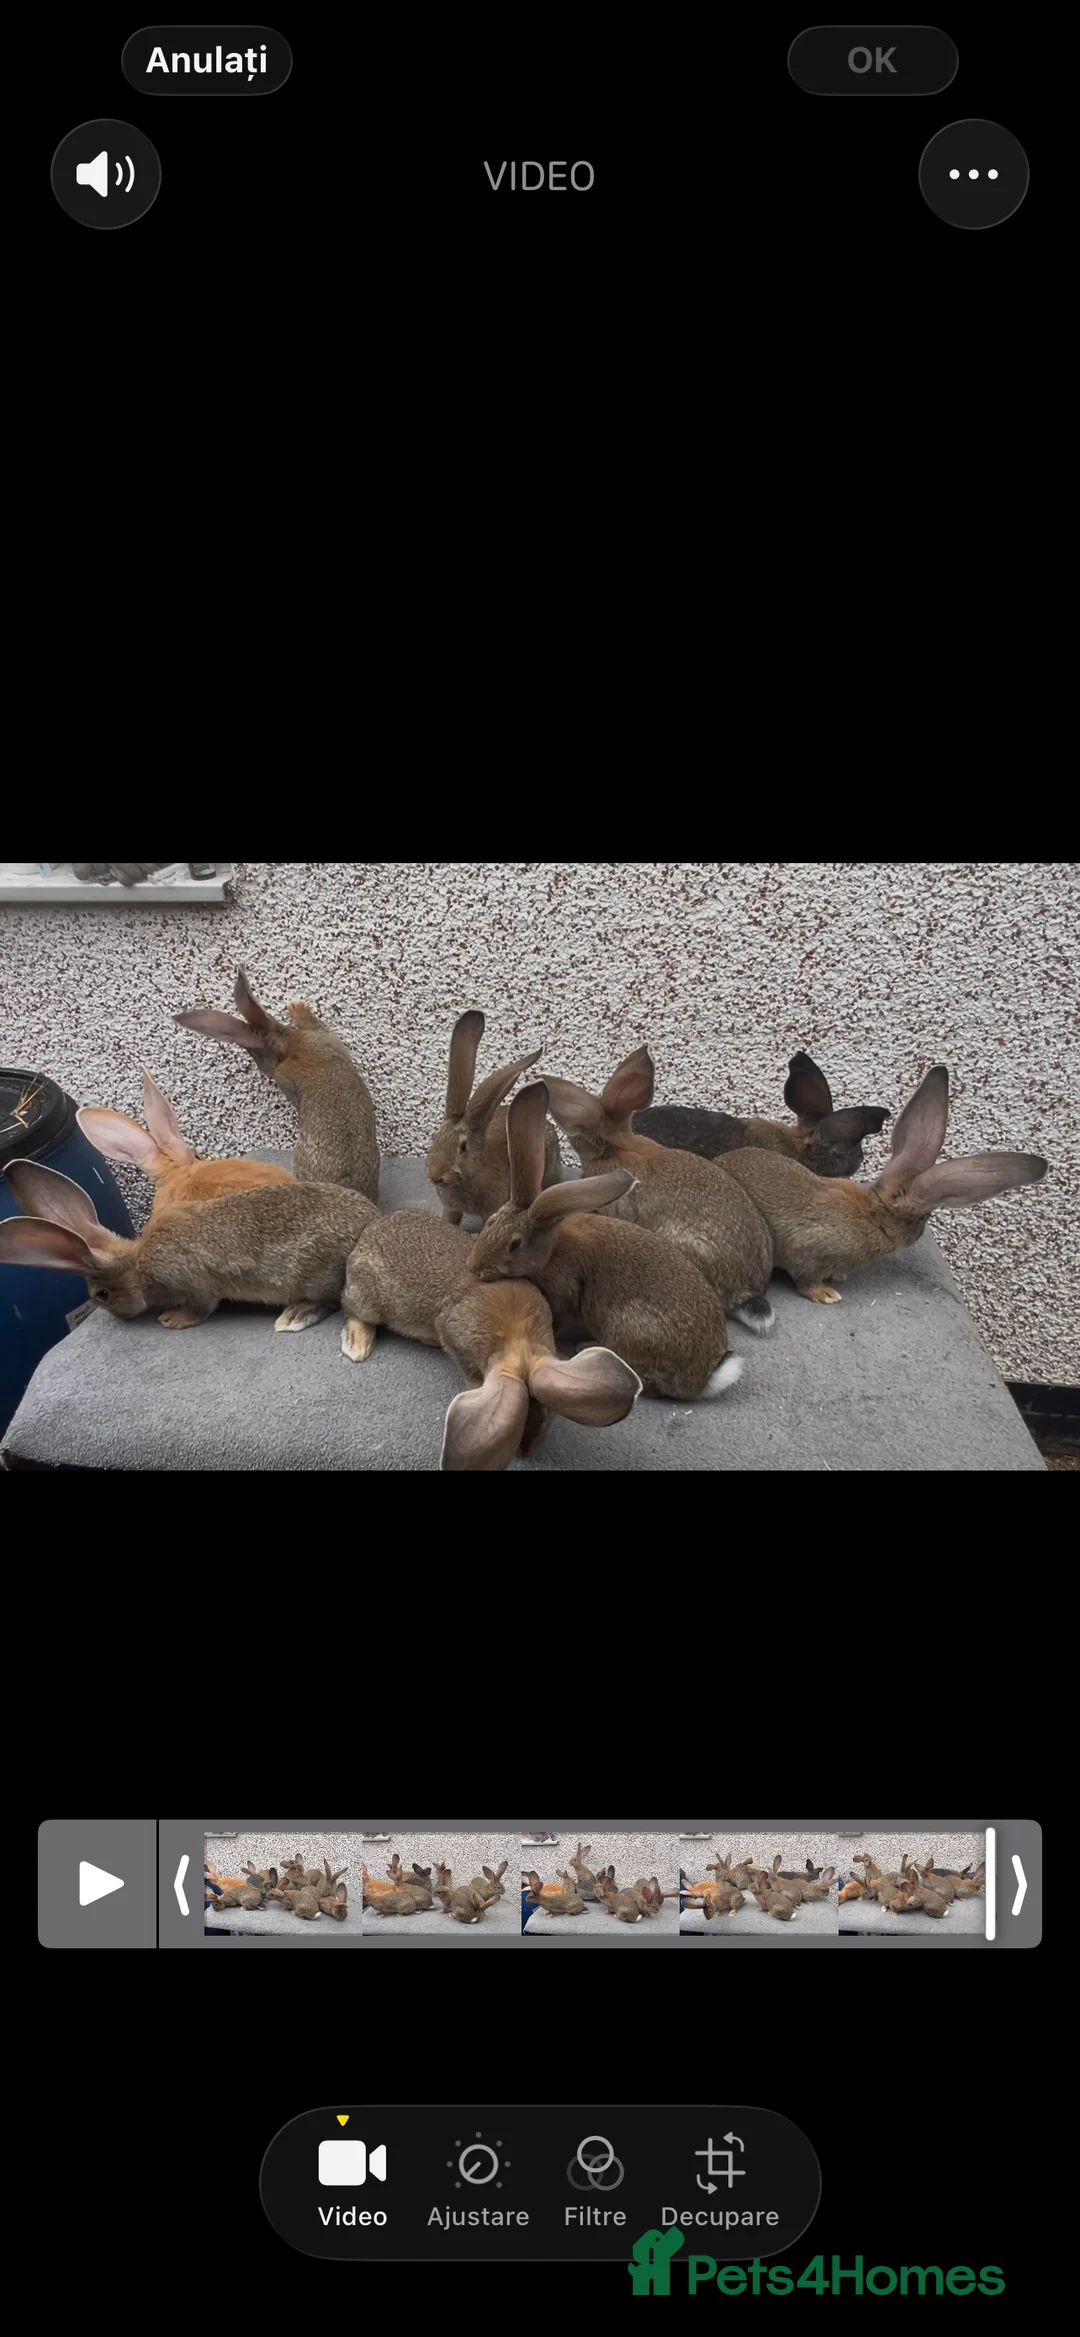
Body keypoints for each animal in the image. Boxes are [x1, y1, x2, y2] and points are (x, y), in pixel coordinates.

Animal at [0, 1158, 377, 1336]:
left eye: (101, 1295)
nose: (119, 1317)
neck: (139, 1265)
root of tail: (369, 1223)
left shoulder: (191, 1283)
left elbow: (200, 1307)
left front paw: (172, 1320)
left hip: (315, 1276)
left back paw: (296, 1315)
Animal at [341, 1205, 640, 1470]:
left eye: (546, 1418)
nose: (525, 1452)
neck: (517, 1338)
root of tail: (365, 1237)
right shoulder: (454, 1334)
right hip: (368, 1299)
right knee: (353, 1310)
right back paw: (357, 1344)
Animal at [469, 1083, 745, 1398]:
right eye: (491, 1221)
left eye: (515, 1244)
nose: (474, 1268)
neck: (552, 1250)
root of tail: (702, 1380)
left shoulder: (564, 1293)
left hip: (632, 1330)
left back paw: (586, 1347)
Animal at [718, 1063, 1047, 1302]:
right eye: (921, 1218)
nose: (917, 1236)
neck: (873, 1215)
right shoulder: (808, 1253)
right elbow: (806, 1280)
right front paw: (828, 1295)